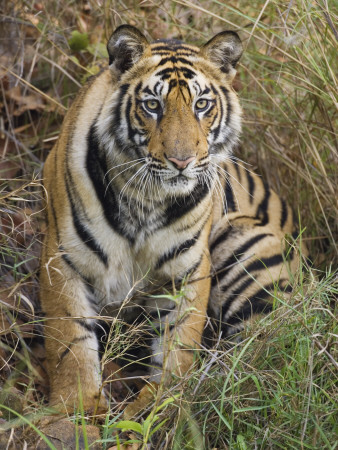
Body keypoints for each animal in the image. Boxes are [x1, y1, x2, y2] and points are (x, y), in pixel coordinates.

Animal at [40, 25, 306, 414]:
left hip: (246, 255)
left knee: (267, 350)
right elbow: (70, 344)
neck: (145, 199)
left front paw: (162, 407)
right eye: (153, 105)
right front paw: (75, 411)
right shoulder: (63, 259)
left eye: (201, 105)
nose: (182, 161)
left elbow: (178, 348)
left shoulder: (188, 269)